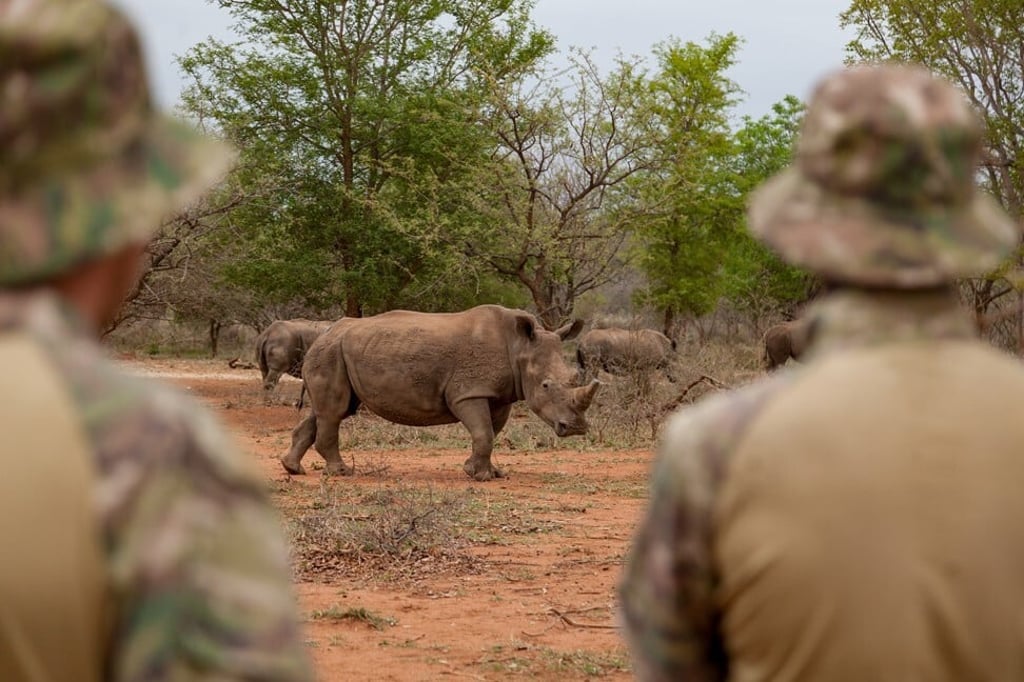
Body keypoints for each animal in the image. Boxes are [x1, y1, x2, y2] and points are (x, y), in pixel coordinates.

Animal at [280, 304, 600, 481]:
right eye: (546, 385)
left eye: (574, 378)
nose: (575, 428)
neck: (519, 346)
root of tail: (324, 332)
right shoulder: (468, 392)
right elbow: (483, 433)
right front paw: (479, 476)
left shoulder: (498, 395)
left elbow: (490, 433)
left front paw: (489, 472)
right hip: (330, 353)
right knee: (334, 412)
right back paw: (341, 472)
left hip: (336, 352)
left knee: (329, 411)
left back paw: (293, 469)